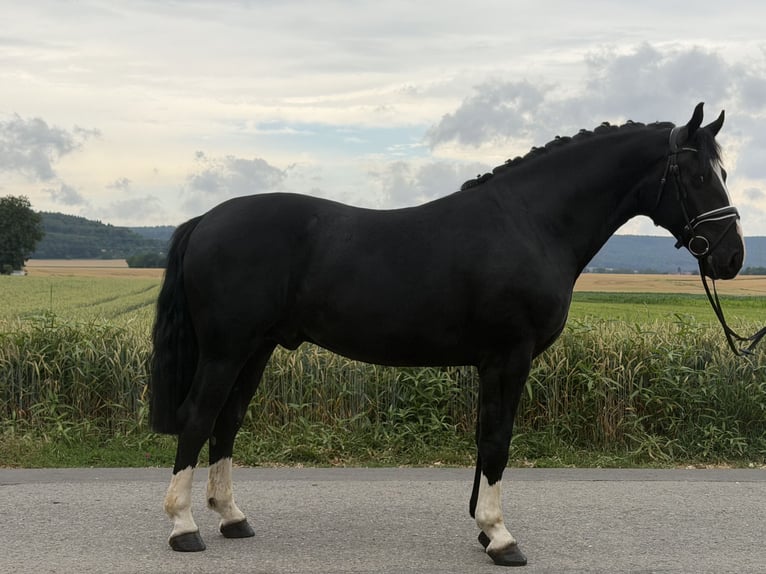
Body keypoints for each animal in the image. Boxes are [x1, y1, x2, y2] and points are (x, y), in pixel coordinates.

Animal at [149, 103, 744, 566]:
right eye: (698, 176)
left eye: (720, 173)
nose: (732, 257)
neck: (531, 222)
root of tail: (204, 220)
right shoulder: (509, 356)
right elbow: (497, 440)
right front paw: (501, 538)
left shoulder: (493, 362)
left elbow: (485, 440)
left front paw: (485, 530)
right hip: (226, 350)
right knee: (199, 417)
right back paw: (183, 528)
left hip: (257, 349)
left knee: (226, 422)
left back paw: (232, 518)